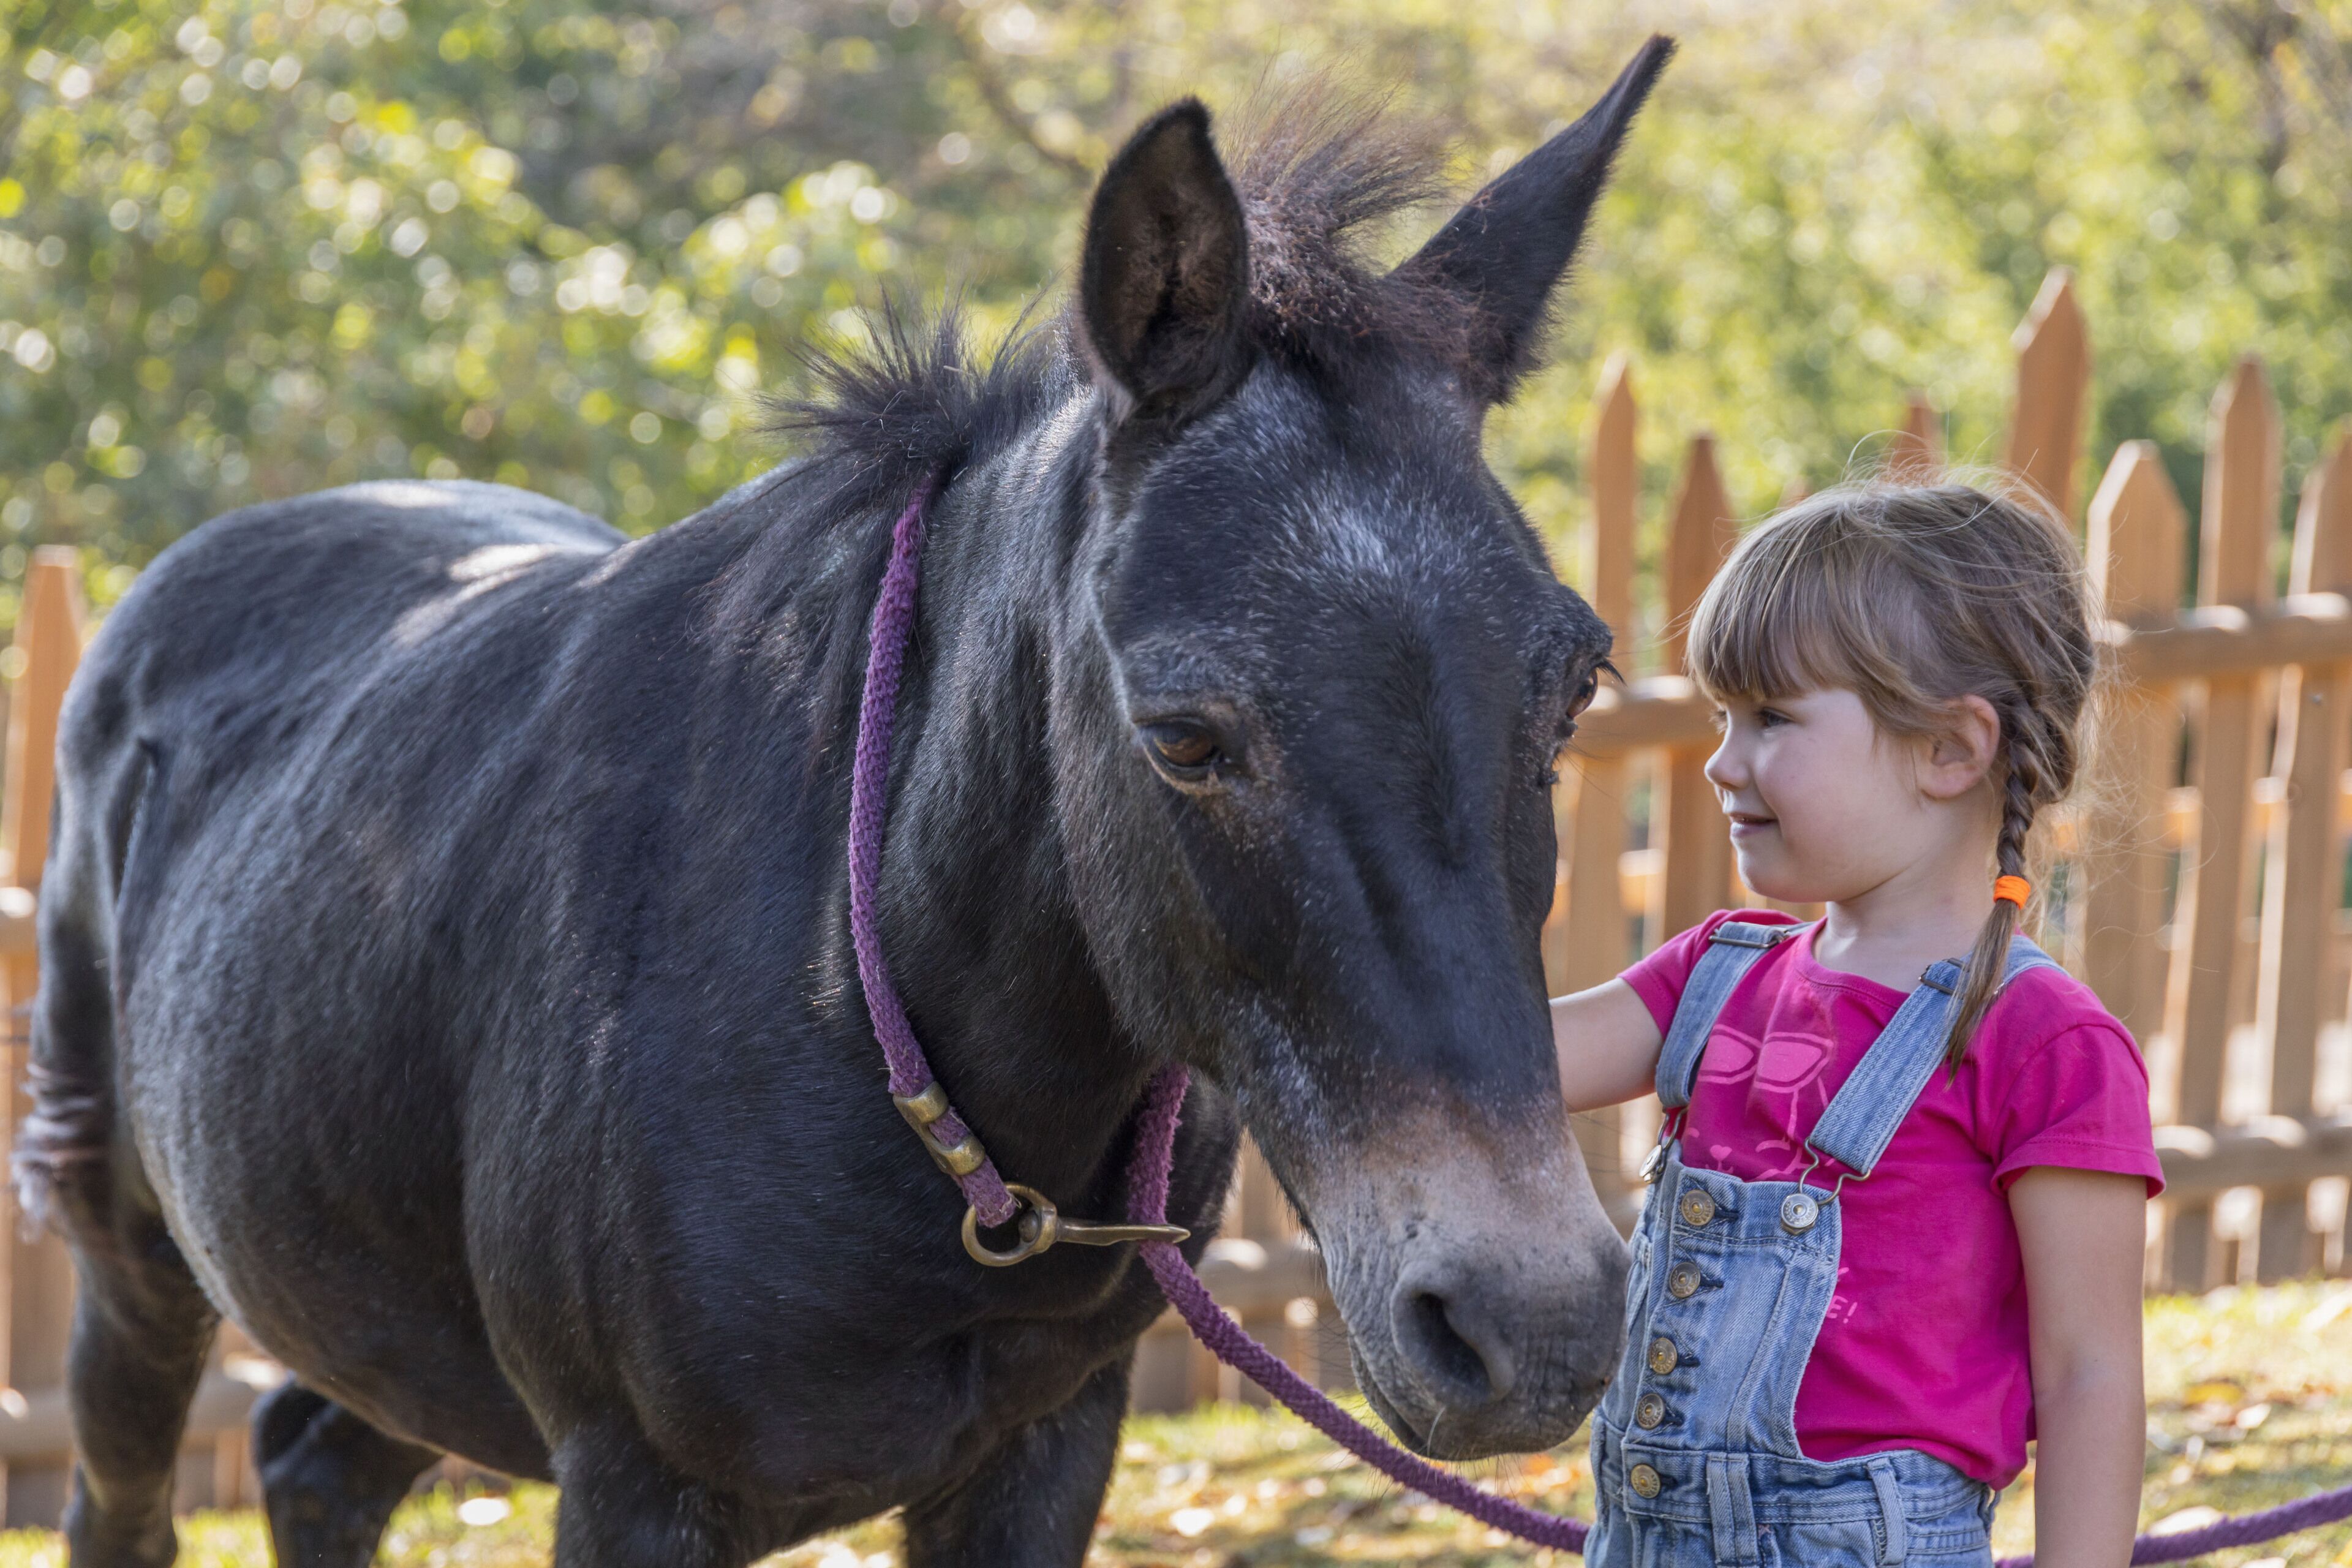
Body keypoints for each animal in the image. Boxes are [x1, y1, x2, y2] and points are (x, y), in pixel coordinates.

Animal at [20, 38, 1670, 1568]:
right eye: (1187, 737)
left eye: (1572, 686)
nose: (1528, 1323)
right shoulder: (631, 1483)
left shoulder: (1048, 1443)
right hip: (132, 1263)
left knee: (313, 1458)